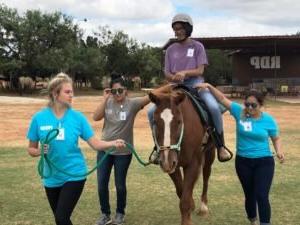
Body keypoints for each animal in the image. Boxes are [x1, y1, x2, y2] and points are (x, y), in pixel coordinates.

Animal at [149, 87, 216, 225]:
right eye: (155, 122)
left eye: (179, 121)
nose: (167, 161)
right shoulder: (172, 165)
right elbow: (181, 191)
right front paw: (191, 204)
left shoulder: (192, 163)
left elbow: (184, 200)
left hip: (210, 153)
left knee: (206, 175)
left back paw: (203, 207)